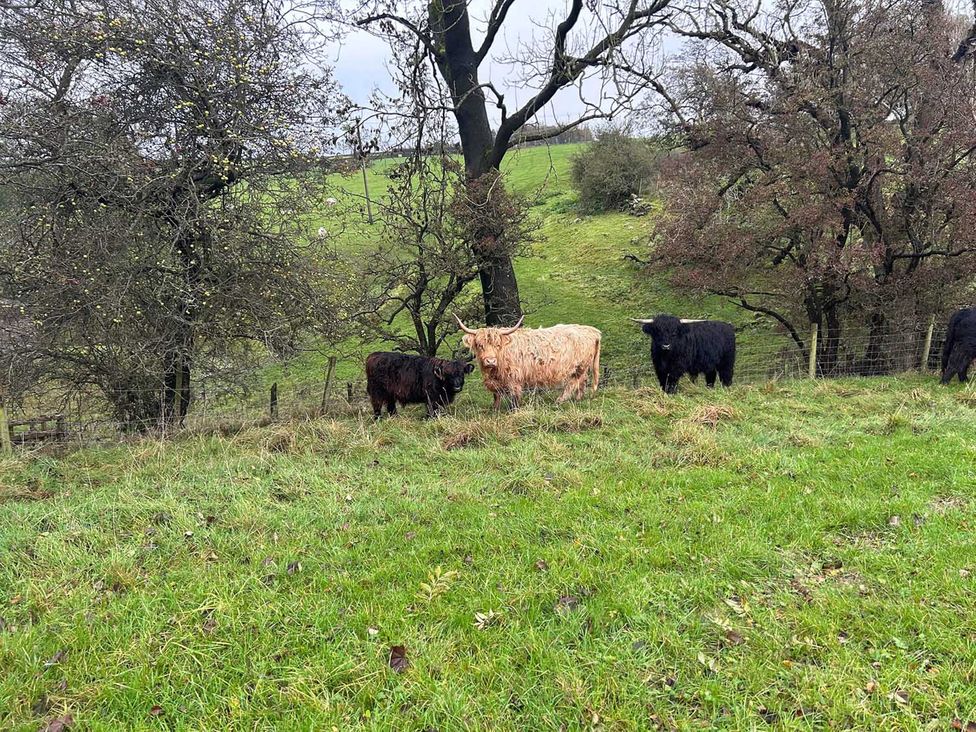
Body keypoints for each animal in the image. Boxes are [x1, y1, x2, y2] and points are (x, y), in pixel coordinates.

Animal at [455, 315, 601, 410]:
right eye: (480, 345)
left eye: (497, 345)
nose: (490, 361)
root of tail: (592, 331)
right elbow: (496, 395)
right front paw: (494, 409)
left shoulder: (514, 377)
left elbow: (514, 396)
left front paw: (514, 410)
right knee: (582, 381)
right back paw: (578, 399)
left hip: (579, 366)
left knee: (574, 382)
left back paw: (559, 401)